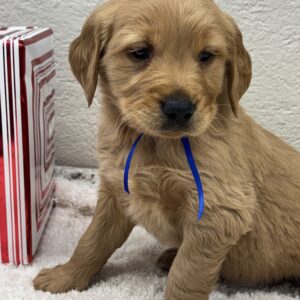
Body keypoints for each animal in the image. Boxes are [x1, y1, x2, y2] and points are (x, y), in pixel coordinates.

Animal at [33, 0, 300, 298]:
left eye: (206, 56)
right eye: (140, 52)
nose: (179, 108)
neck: (152, 143)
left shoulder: (217, 211)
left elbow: (187, 276)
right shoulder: (116, 192)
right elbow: (92, 241)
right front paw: (65, 277)